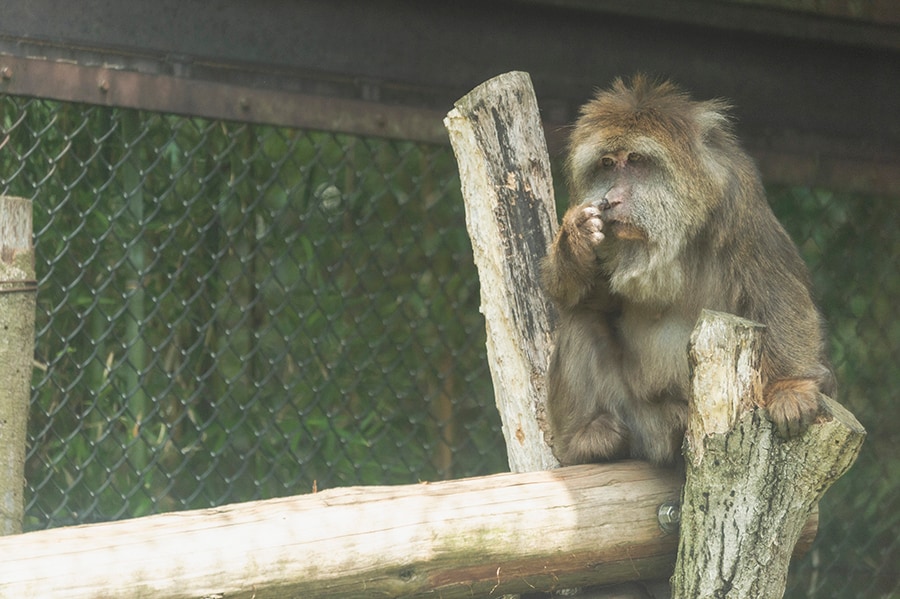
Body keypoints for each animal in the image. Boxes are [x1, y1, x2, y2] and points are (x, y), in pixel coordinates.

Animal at [536, 76, 832, 468]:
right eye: (607, 164)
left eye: (636, 160)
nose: (612, 199)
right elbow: (582, 296)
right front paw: (573, 240)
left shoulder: (740, 202)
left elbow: (776, 289)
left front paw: (791, 387)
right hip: (637, 414)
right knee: (580, 318)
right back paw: (585, 443)